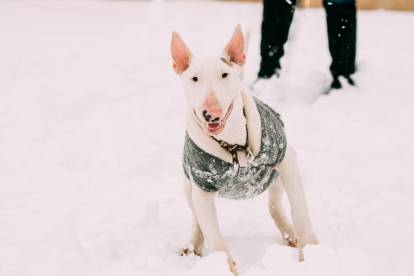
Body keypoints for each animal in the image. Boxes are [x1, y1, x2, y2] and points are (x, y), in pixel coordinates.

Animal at [170, 25, 318, 274]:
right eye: (194, 78)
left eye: (224, 74)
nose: (211, 113)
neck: (232, 145)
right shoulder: (201, 183)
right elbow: (213, 234)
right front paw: (224, 267)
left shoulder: (287, 159)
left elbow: (300, 209)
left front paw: (311, 253)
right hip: (187, 186)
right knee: (197, 219)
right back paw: (192, 247)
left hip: (275, 178)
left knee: (274, 205)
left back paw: (291, 236)